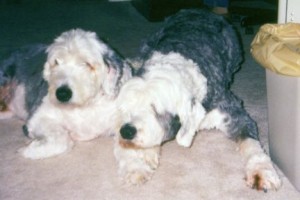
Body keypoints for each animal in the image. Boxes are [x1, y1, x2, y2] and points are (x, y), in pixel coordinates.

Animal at [0, 28, 132, 159]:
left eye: (87, 64)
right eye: (56, 62)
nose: (62, 94)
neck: (83, 107)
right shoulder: (37, 118)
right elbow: (62, 140)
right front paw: (26, 150)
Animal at [113, 9, 282, 191]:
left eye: (155, 108)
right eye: (127, 105)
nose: (126, 131)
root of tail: (197, 10)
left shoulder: (231, 112)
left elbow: (250, 141)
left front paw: (262, 171)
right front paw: (138, 164)